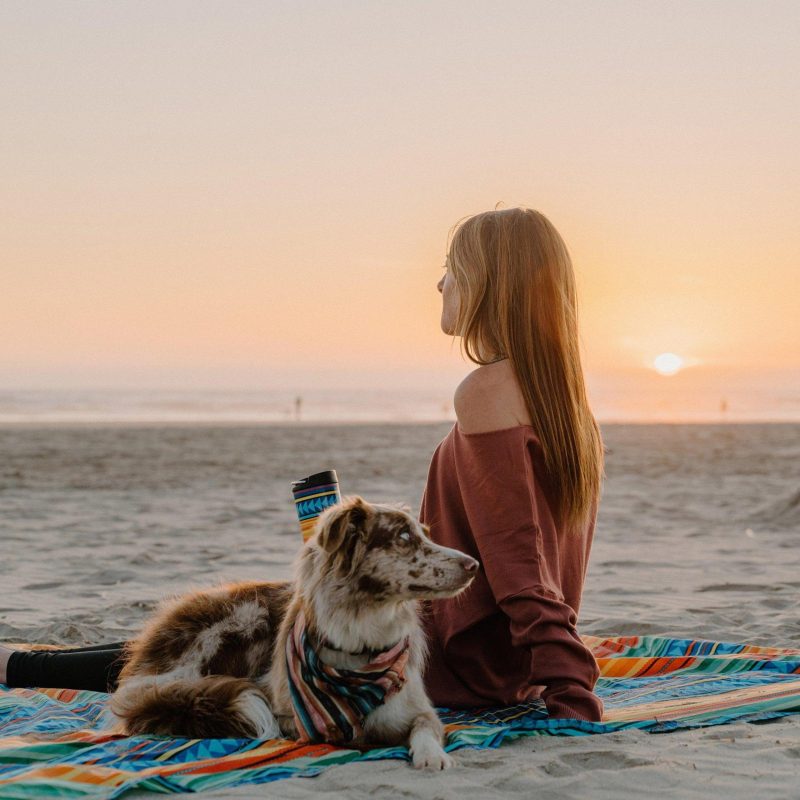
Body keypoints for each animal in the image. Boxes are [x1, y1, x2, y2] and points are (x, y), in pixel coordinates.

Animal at [109, 494, 478, 768]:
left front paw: (433, 756)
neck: (360, 639)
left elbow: (424, 728)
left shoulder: (419, 709)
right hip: (242, 618)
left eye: (426, 533)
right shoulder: (286, 713)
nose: (474, 564)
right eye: (403, 537)